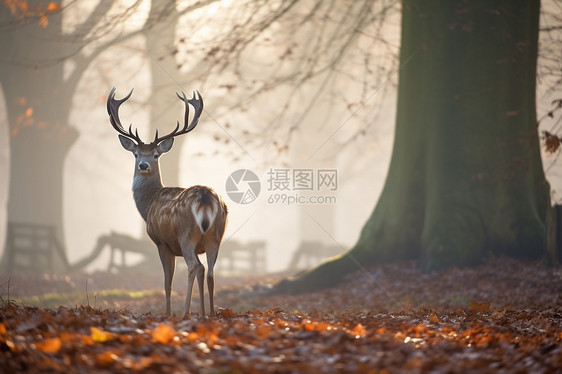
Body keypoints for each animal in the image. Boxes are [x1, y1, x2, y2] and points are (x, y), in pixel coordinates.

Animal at [106, 87, 226, 318]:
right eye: (136, 154)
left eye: (155, 154)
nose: (143, 165)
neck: (148, 204)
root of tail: (205, 198)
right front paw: (202, 313)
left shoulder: (162, 242)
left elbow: (166, 282)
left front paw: (168, 313)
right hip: (215, 237)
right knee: (209, 271)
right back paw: (210, 314)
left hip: (185, 235)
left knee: (194, 267)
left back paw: (185, 312)